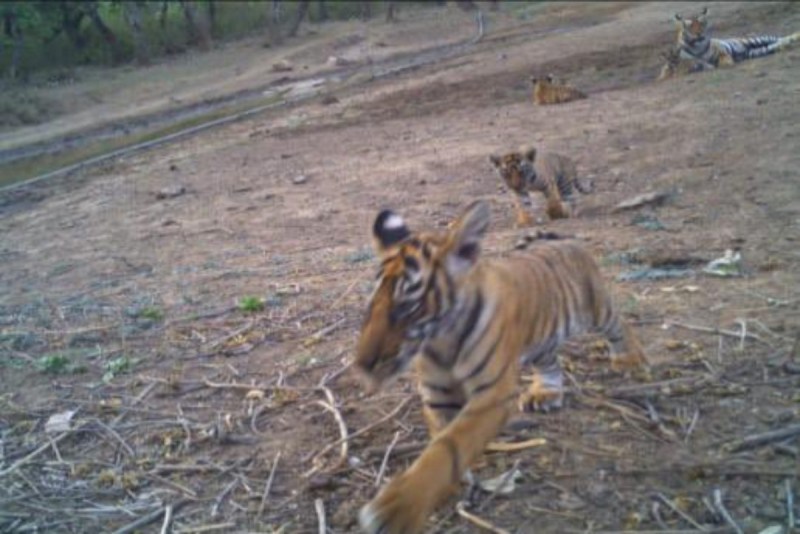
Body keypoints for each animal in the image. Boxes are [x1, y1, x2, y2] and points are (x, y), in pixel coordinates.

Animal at [354, 200, 648, 534]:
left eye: (408, 307)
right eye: (372, 305)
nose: (362, 365)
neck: (441, 340)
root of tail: (564, 240)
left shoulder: (491, 395)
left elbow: (451, 445)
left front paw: (398, 509)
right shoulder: (438, 395)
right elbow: (441, 439)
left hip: (597, 308)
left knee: (620, 324)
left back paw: (630, 359)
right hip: (543, 341)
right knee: (551, 364)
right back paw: (545, 394)